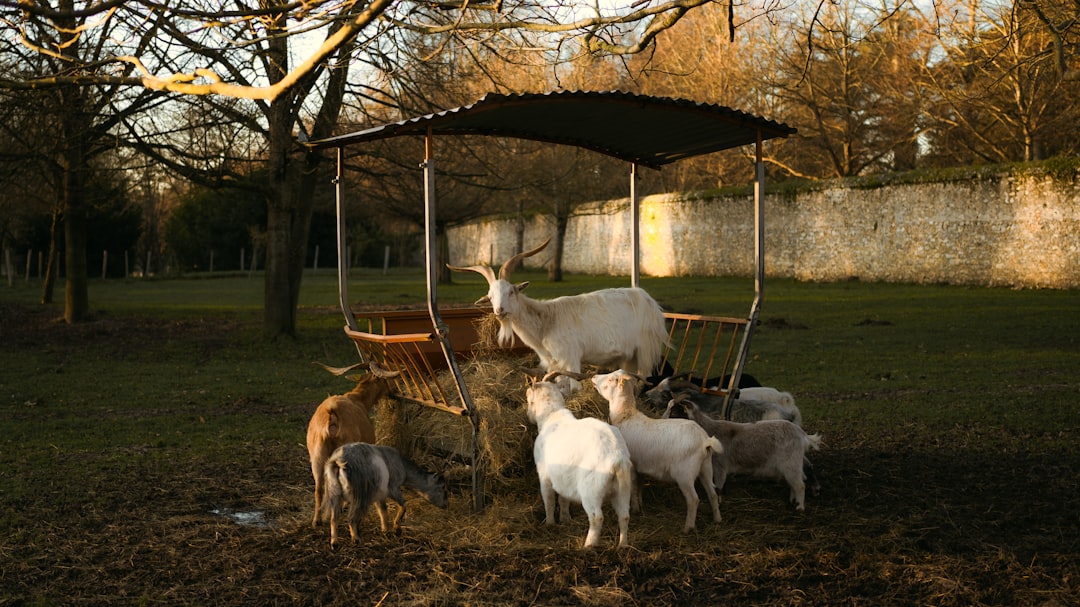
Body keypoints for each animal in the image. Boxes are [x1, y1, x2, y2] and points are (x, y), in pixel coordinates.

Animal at [306, 361, 399, 528]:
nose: (394, 391)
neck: (359, 399)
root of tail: (332, 415)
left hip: (317, 457)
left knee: (318, 488)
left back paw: (317, 520)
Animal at [448, 238, 669, 385]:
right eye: (490, 296)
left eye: (511, 291)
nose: (499, 310)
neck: (546, 321)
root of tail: (650, 302)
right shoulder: (553, 362)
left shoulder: (570, 358)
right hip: (627, 356)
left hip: (644, 349)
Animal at [526, 372, 634, 548]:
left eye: (528, 397)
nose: (529, 416)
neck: (552, 416)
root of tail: (618, 459)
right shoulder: (563, 478)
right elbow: (563, 499)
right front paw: (565, 519)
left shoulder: (544, 476)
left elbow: (549, 500)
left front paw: (550, 523)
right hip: (623, 489)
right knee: (624, 516)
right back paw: (622, 545)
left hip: (591, 490)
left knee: (597, 517)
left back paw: (588, 546)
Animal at [592, 369, 722, 533]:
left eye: (611, 379)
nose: (594, 377)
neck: (626, 416)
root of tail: (705, 441)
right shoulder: (640, 465)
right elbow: (639, 485)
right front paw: (640, 504)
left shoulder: (631, 466)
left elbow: (633, 487)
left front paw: (635, 508)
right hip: (706, 468)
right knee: (713, 494)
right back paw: (717, 519)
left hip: (684, 474)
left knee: (693, 499)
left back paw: (688, 528)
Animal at [666, 398, 821, 510]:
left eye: (675, 413)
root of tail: (802, 434)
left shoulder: (720, 466)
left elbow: (719, 487)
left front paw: (719, 503)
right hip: (792, 464)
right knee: (796, 481)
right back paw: (793, 501)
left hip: (790, 463)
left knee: (800, 484)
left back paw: (799, 507)